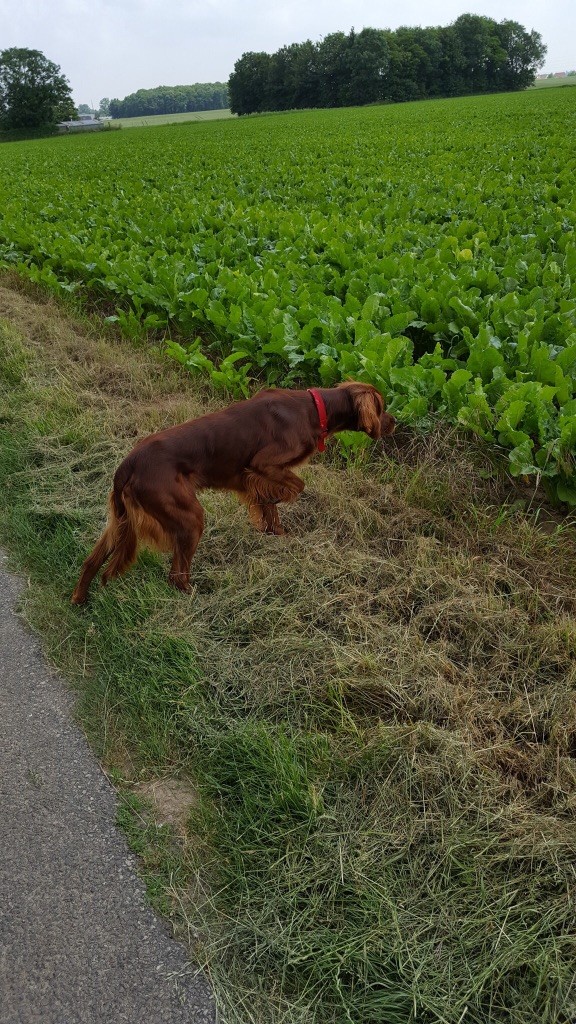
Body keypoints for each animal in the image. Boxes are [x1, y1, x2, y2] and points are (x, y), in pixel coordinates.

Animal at [70, 380, 393, 602]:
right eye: (381, 406)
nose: (395, 422)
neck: (315, 410)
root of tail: (128, 463)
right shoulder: (262, 463)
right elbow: (295, 487)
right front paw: (278, 501)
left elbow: (270, 508)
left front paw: (276, 532)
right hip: (189, 517)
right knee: (176, 575)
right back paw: (195, 597)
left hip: (121, 522)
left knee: (91, 560)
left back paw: (80, 600)